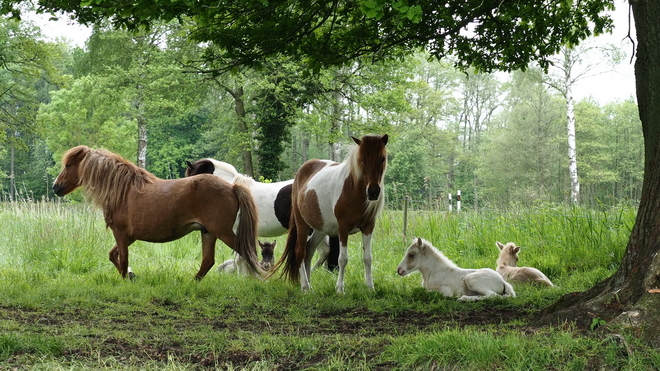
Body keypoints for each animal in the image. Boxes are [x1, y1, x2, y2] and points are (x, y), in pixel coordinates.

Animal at [52, 145, 262, 280]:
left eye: (68, 165)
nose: (56, 186)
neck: (123, 190)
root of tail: (232, 187)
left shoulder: (120, 233)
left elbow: (122, 259)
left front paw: (126, 279)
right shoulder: (130, 236)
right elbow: (114, 256)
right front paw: (131, 275)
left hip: (222, 232)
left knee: (247, 252)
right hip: (208, 232)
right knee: (208, 261)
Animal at [272, 134, 386, 294]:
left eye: (382, 158)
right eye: (362, 159)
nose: (373, 192)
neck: (353, 188)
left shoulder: (368, 227)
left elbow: (368, 257)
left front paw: (370, 287)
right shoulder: (343, 228)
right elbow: (342, 259)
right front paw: (340, 289)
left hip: (320, 229)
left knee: (309, 250)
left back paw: (309, 284)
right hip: (302, 224)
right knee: (300, 251)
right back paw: (305, 286)